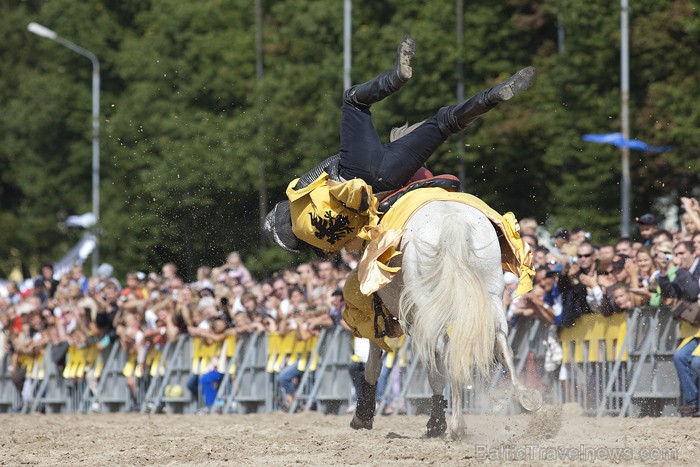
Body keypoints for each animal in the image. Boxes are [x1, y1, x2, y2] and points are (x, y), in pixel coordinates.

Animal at [350, 201, 540, 438]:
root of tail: (452, 221)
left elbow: (374, 363)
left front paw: (363, 415)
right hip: (491, 293)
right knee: (499, 339)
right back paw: (522, 398)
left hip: (427, 305)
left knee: (446, 350)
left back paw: (454, 423)